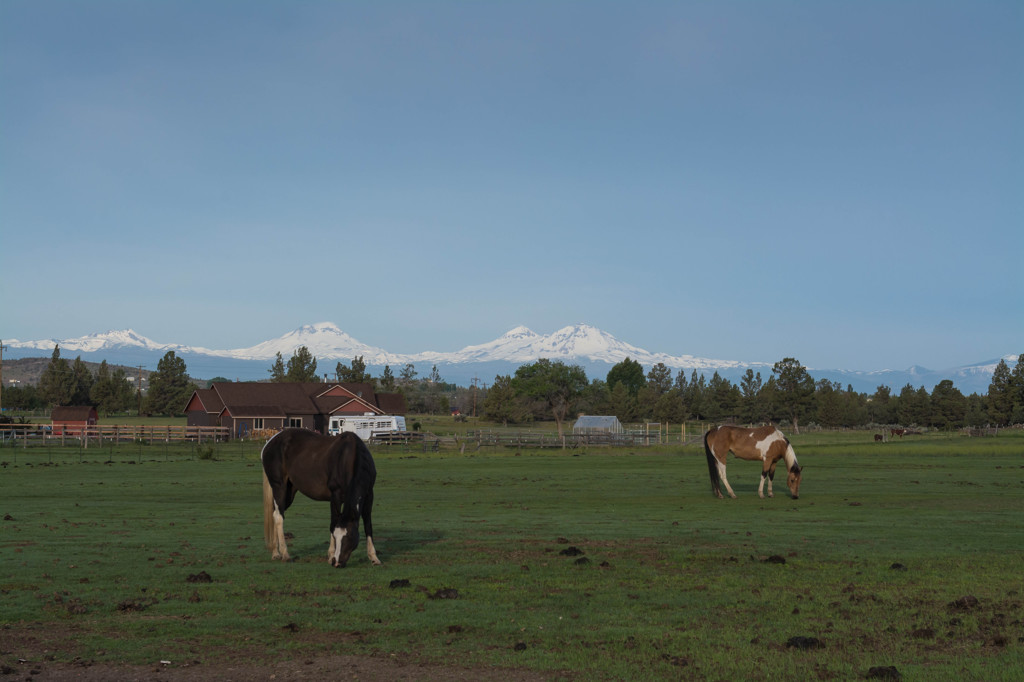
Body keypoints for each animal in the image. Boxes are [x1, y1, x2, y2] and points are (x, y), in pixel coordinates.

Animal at [260, 428, 380, 565]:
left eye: (349, 536)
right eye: (337, 536)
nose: (338, 562)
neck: (348, 457)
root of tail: (271, 441)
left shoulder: (369, 495)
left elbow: (368, 524)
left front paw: (373, 557)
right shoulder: (335, 495)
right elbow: (333, 521)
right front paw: (331, 555)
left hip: (289, 492)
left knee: (275, 513)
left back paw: (276, 552)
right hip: (279, 487)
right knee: (279, 517)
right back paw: (284, 554)